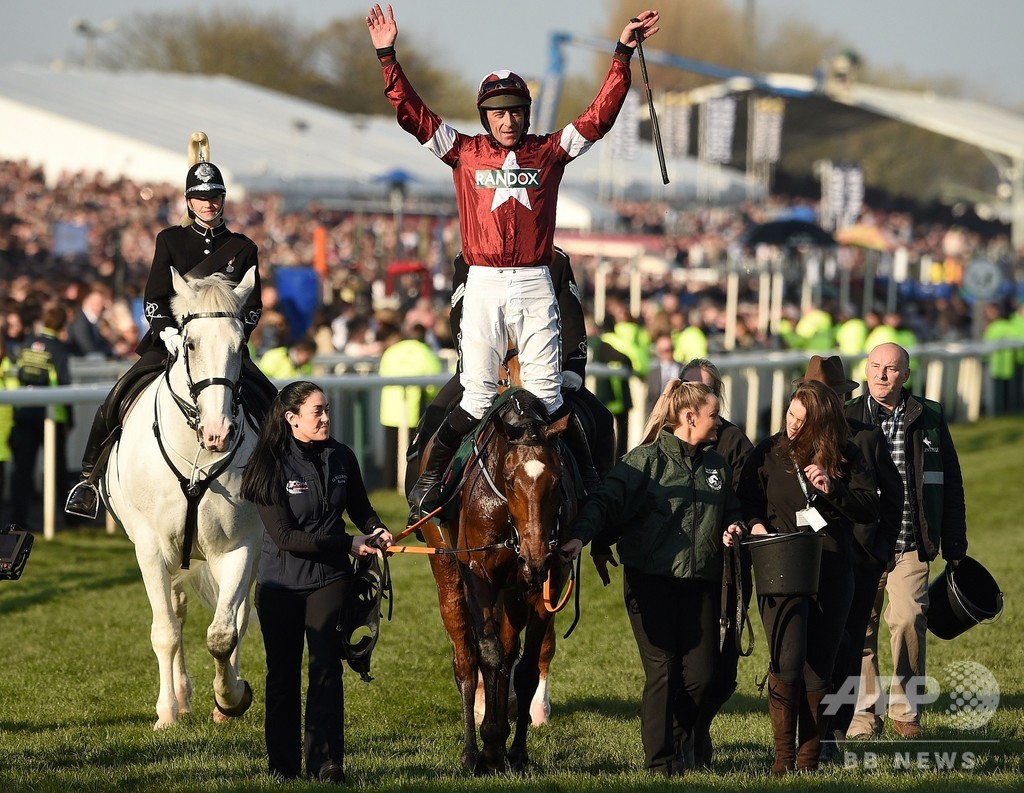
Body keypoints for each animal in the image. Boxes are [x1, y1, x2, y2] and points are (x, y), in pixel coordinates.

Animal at [102, 268, 262, 733]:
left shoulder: (241, 546)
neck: (196, 454)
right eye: (190, 344)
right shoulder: (151, 548)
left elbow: (224, 632)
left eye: (241, 345)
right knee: (175, 613)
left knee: (236, 617)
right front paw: (166, 714)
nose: (218, 432)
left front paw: (231, 698)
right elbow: (166, 632)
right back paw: (180, 699)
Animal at [417, 391, 577, 774]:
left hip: (515, 593)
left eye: (556, 480)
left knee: (509, 651)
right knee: (465, 657)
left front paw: (515, 752)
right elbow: (488, 654)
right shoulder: (479, 572)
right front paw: (488, 747)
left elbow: (527, 665)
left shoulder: (546, 582)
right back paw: (471, 752)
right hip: (446, 566)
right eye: (509, 479)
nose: (535, 555)